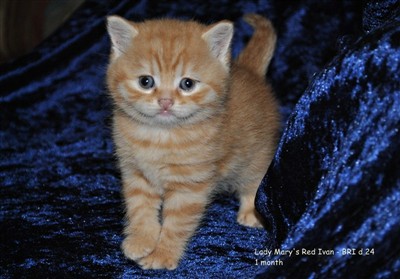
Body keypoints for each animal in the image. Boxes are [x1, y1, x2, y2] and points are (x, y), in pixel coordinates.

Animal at [106, 13, 282, 272]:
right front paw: (141, 239)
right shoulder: (136, 175)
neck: (160, 136)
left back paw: (251, 211)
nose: (166, 101)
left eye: (187, 84)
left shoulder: (189, 186)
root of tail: (250, 71)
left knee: (255, 180)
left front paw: (163, 254)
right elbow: (139, 208)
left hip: (256, 154)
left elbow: (176, 224)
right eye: (146, 82)